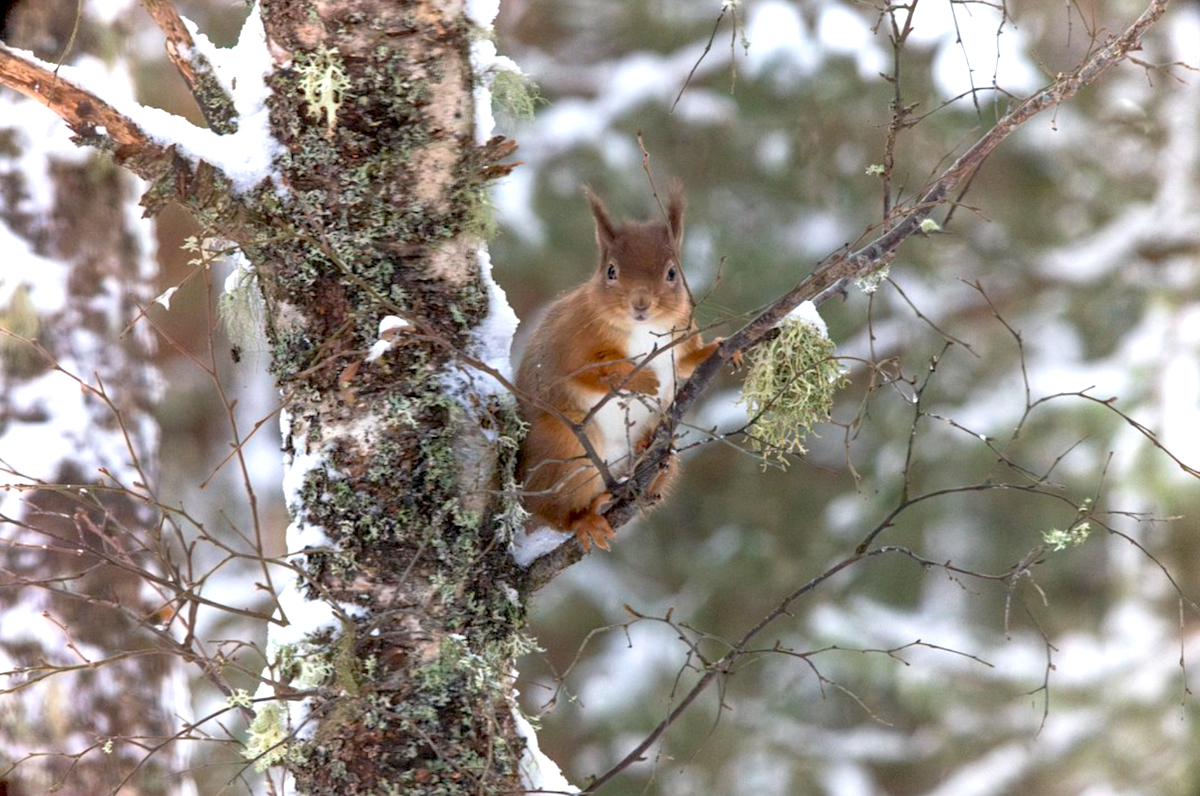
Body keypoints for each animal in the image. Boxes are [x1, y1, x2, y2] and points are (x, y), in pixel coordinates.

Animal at [513, 183, 715, 552]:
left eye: (672, 273)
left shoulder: (680, 334)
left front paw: (717, 349)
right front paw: (640, 380)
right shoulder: (569, 342)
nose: (640, 303)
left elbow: (686, 364)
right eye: (611, 271)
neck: (641, 330)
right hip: (567, 449)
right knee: (551, 513)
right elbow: (585, 372)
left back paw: (649, 449)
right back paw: (583, 520)